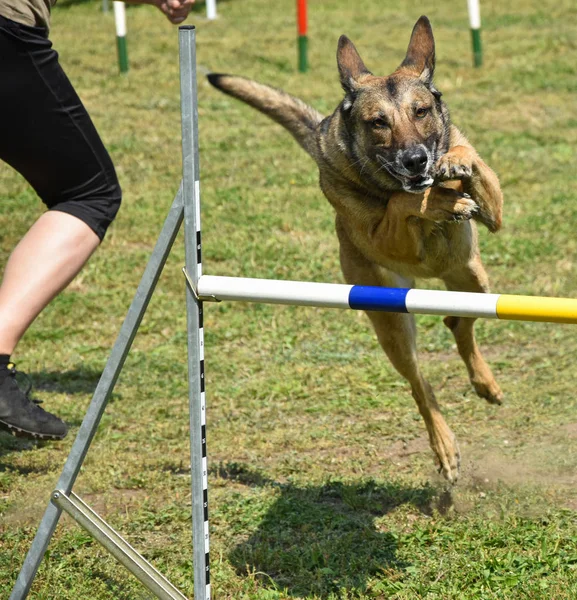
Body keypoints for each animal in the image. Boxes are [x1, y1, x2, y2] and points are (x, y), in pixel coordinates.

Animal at [208, 15, 504, 482]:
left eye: (420, 111)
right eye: (378, 122)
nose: (415, 160)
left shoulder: (494, 215)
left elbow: (470, 167)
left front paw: (453, 164)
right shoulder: (390, 234)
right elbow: (402, 202)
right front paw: (435, 200)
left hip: (474, 281)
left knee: (458, 322)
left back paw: (485, 384)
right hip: (392, 318)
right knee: (420, 384)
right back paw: (444, 447)